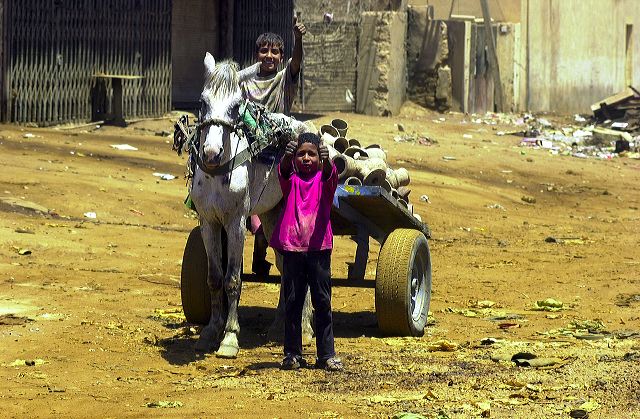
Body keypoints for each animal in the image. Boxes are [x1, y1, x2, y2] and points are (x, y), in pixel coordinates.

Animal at [190, 54, 312, 360]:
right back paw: (281, 325)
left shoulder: (236, 223)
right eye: (202, 102)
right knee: (286, 264)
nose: (211, 153)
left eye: (236, 107)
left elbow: (233, 280)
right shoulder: (208, 223)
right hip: (272, 216)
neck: (217, 173)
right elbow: (214, 278)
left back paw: (306, 328)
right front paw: (210, 331)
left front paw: (229, 338)